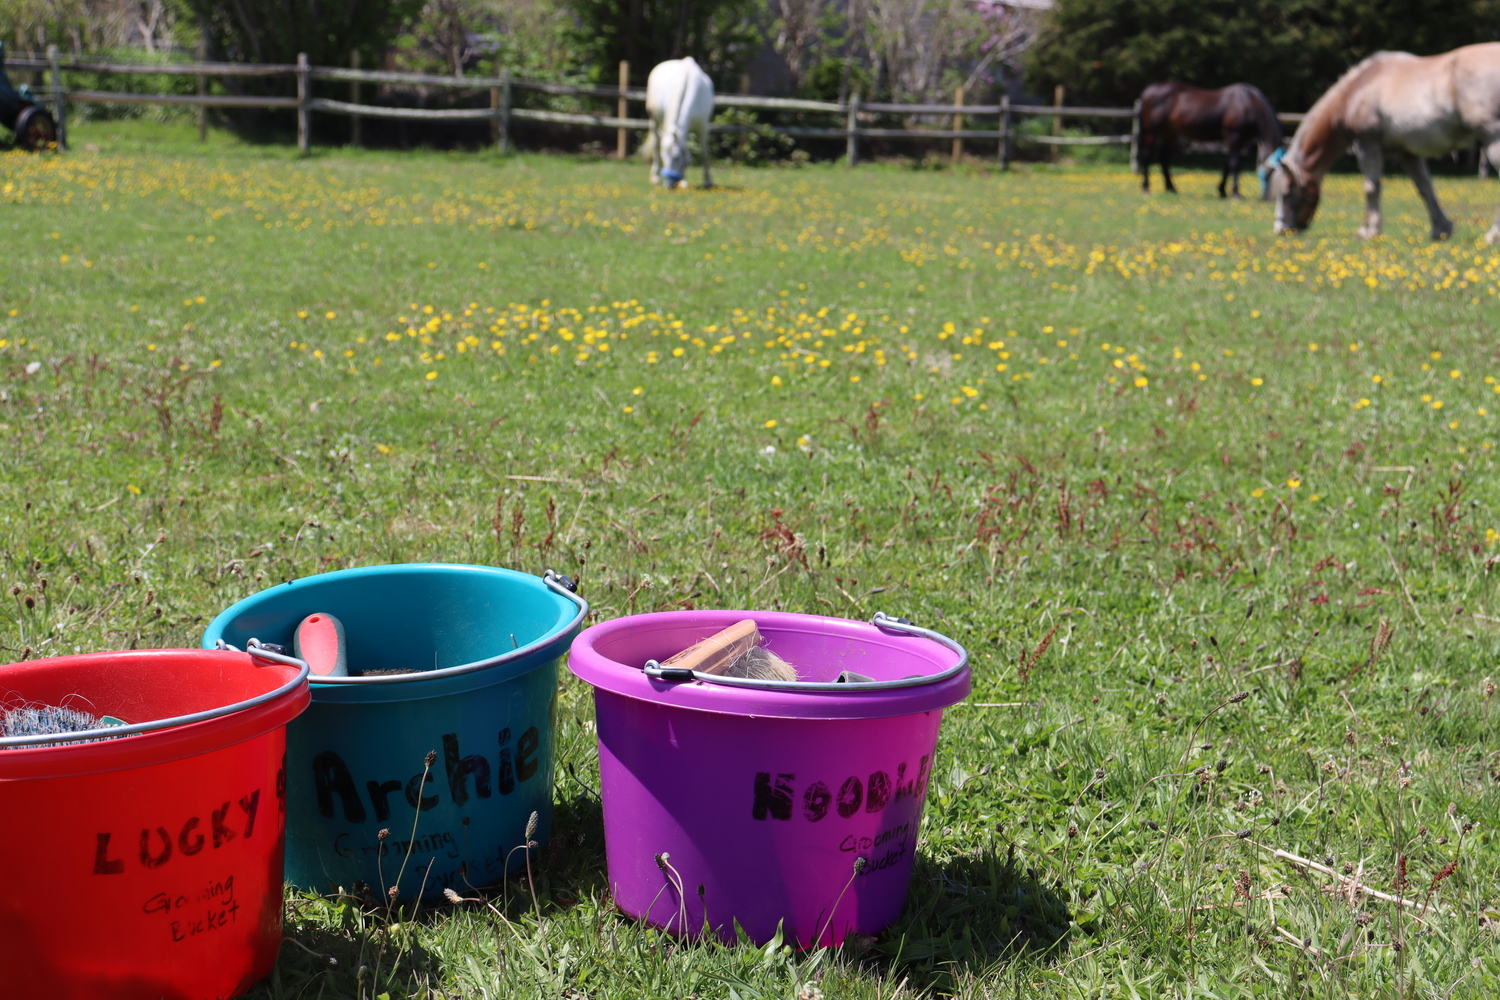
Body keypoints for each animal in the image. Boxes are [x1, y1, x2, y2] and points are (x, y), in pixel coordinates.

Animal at [645, 56, 714, 188]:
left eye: (676, 157)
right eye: (664, 156)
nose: (669, 185)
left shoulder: (703, 126)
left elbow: (704, 152)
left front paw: (708, 182)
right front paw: (684, 181)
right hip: (654, 120)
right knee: (656, 145)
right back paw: (655, 177)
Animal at [1140, 83, 1284, 200]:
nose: (1268, 198)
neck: (1248, 103)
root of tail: (1150, 90)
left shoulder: (1241, 140)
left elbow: (1228, 165)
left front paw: (1222, 191)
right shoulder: (1233, 136)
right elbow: (1235, 164)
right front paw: (1236, 193)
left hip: (1169, 134)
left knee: (1164, 159)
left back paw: (1171, 188)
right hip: (1152, 132)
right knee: (1147, 157)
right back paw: (1146, 187)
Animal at [1272, 44, 1500, 244]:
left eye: (1286, 193)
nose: (1280, 229)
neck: (1358, 90)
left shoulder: (1367, 145)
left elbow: (1371, 188)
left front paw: (1368, 231)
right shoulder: (1408, 154)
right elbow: (1425, 188)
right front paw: (1441, 229)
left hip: (1493, 140)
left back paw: (1493, 236)